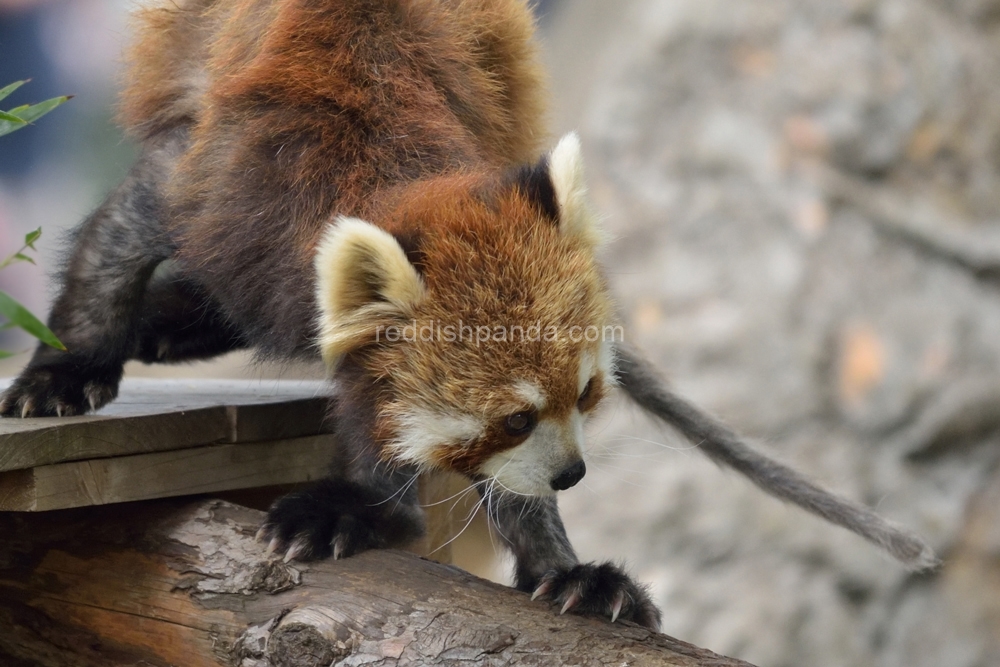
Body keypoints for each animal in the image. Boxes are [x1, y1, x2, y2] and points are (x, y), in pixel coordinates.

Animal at [0, 0, 936, 632]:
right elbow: (118, 237)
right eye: (514, 415)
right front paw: (65, 368)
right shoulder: (219, 182)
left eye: (585, 395)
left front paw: (564, 568)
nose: (573, 475)